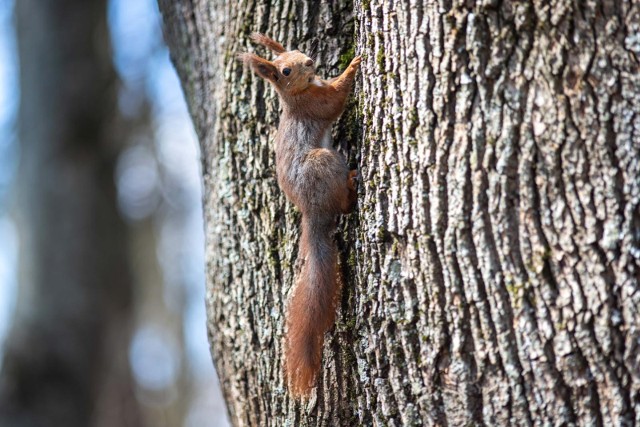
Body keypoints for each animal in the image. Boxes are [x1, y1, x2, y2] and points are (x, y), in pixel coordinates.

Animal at [239, 33, 360, 398]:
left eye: (295, 51)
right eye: (286, 71)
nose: (309, 62)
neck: (298, 93)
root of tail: (312, 212)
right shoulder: (316, 104)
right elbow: (336, 99)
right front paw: (354, 65)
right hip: (324, 162)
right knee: (342, 204)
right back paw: (351, 186)